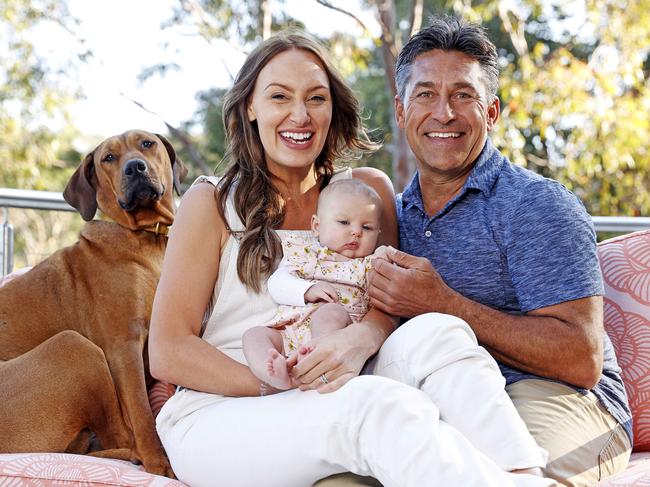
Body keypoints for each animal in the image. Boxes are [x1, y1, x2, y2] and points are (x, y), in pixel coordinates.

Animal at [0, 130, 186, 476]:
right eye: (108, 158)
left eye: (147, 144)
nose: (135, 168)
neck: (145, 238)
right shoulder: (123, 346)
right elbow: (141, 412)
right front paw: (159, 463)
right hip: (74, 347)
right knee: (120, 433)